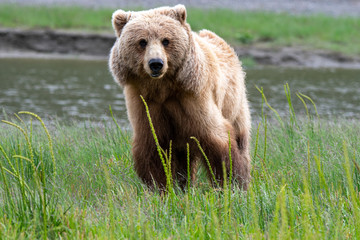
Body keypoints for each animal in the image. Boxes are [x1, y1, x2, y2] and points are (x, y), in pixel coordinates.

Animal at [108, 4, 252, 191]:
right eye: (142, 41)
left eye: (166, 40)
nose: (156, 63)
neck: (163, 88)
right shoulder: (145, 102)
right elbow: (153, 146)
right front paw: (161, 187)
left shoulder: (193, 98)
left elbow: (217, 139)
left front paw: (230, 183)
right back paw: (184, 184)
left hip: (234, 102)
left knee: (241, 140)